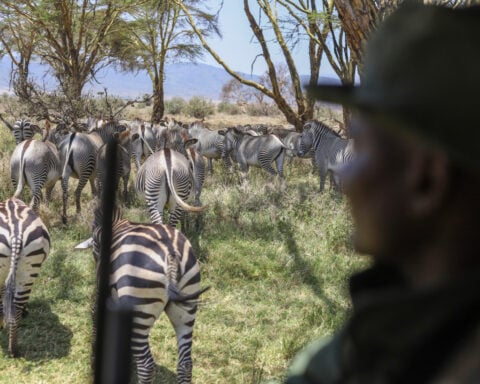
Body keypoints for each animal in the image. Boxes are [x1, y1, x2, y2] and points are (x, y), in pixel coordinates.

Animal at [88, 204, 208, 380]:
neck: (118, 225)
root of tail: (170, 252)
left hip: (140, 310)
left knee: (146, 365)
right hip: (186, 309)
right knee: (185, 364)